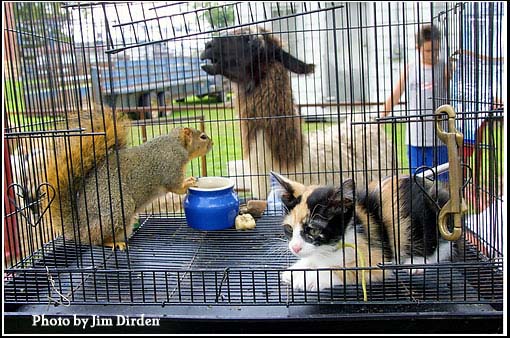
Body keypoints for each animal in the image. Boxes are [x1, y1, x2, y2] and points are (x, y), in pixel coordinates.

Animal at [43, 112, 211, 250]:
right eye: (202, 137)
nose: (212, 143)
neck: (177, 142)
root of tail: (80, 230)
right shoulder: (170, 165)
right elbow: (175, 186)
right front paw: (189, 182)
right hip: (117, 207)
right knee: (96, 240)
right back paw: (112, 242)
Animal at [272, 172, 456, 290]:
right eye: (289, 229)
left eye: (313, 230)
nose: (295, 247)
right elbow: (314, 259)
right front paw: (295, 270)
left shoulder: (377, 256)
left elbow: (346, 270)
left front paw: (308, 278)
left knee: (443, 246)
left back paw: (416, 262)